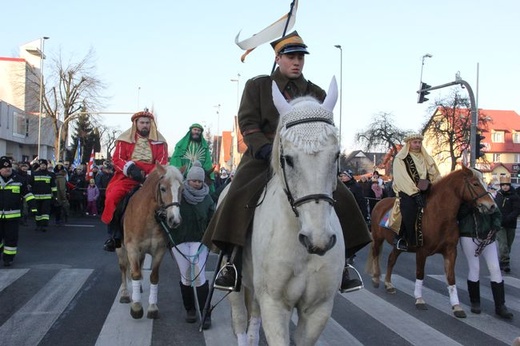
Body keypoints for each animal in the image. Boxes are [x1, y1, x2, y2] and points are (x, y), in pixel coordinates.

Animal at [117, 164, 184, 318]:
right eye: (163, 188)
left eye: (181, 189)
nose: (175, 220)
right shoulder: (132, 249)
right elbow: (134, 273)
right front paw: (136, 307)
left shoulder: (159, 251)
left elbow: (153, 277)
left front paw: (152, 307)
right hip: (121, 248)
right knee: (123, 267)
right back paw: (125, 293)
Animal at [229, 78, 344, 346]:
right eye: (289, 159)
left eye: (336, 155)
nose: (318, 239)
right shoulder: (274, 305)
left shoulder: (318, 310)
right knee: (239, 315)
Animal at [366, 166, 496, 318]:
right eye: (475, 184)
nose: (492, 206)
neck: (440, 215)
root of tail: (379, 203)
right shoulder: (421, 252)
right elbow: (420, 273)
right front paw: (419, 299)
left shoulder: (451, 252)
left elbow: (451, 278)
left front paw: (457, 306)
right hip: (377, 239)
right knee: (376, 254)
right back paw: (376, 278)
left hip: (397, 246)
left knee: (391, 259)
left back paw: (388, 284)